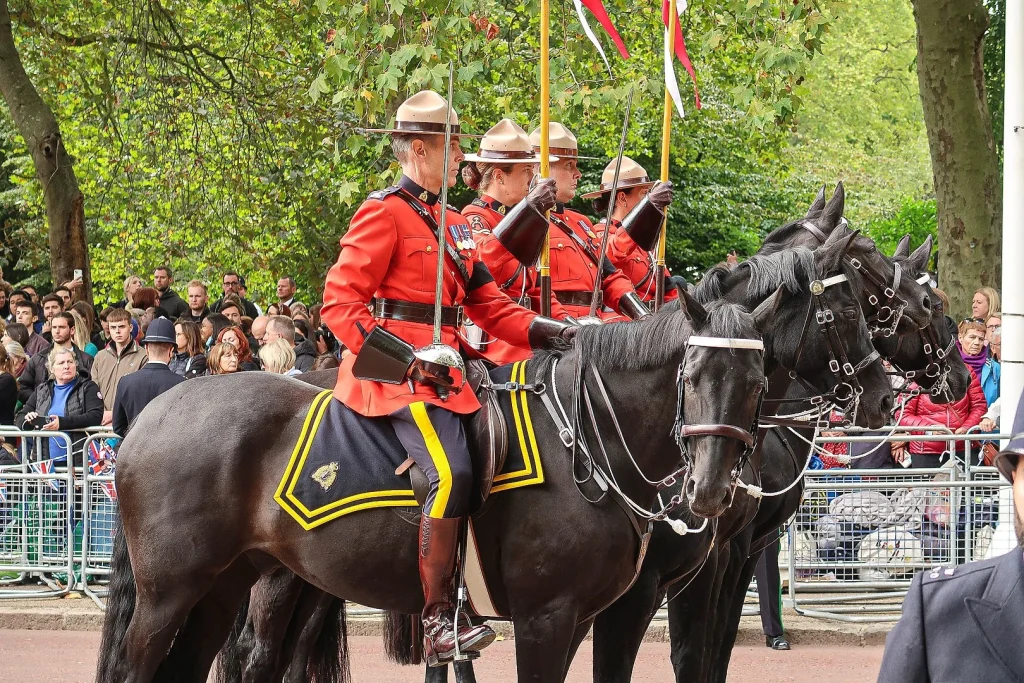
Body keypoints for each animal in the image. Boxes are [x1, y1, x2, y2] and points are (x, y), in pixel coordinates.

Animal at [99, 290, 778, 683]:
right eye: (693, 373)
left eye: (757, 381)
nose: (712, 490)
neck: (583, 438)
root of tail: (151, 414)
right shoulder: (550, 615)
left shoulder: (584, 615)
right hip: (170, 592)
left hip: (226, 585)